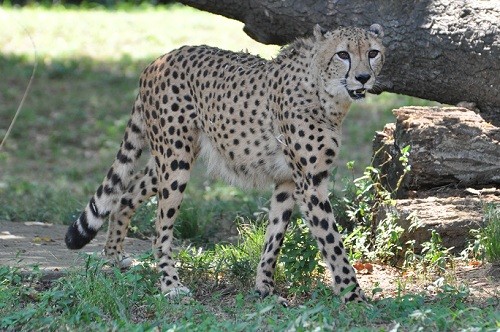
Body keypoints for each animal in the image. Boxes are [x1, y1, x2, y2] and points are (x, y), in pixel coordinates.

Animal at [65, 24, 386, 304]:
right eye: (342, 54)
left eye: (373, 53)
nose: (363, 78)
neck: (326, 93)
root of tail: (159, 59)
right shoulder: (311, 183)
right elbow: (332, 242)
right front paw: (354, 296)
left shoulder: (288, 180)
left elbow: (274, 238)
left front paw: (264, 289)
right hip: (175, 160)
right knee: (160, 231)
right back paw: (170, 285)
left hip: (171, 158)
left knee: (126, 194)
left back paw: (113, 257)